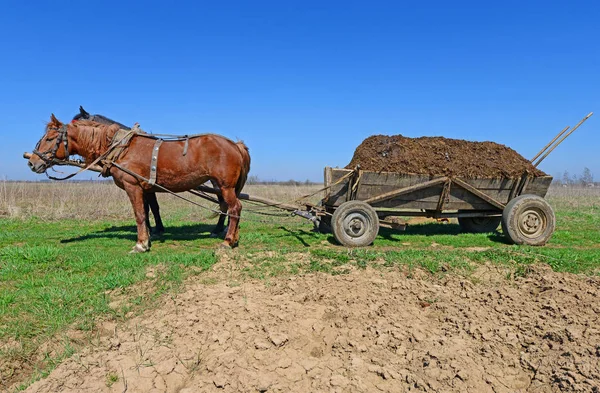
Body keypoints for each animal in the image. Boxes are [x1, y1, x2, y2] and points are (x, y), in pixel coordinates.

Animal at [28, 113, 251, 251]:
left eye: (50, 138)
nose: (32, 162)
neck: (122, 148)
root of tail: (235, 144)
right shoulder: (145, 189)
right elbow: (149, 211)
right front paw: (150, 237)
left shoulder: (133, 186)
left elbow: (140, 215)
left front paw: (141, 244)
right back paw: (231, 236)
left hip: (225, 186)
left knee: (234, 208)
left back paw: (227, 241)